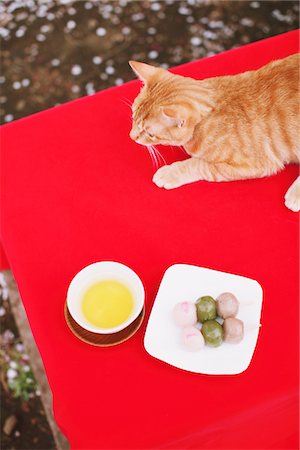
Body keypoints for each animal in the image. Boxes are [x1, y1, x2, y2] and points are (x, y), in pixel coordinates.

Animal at [129, 54, 300, 211]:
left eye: (149, 134)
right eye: (133, 118)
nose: (132, 137)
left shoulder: (257, 164)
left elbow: (199, 164)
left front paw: (171, 172)